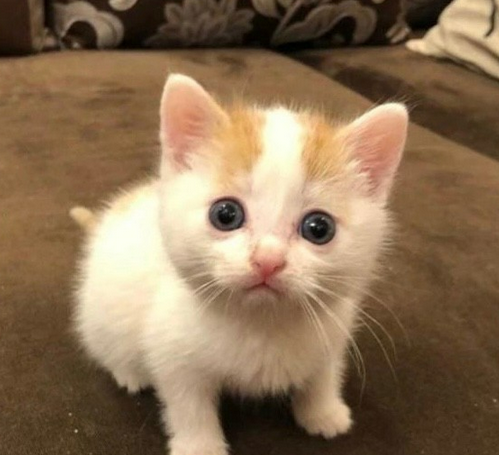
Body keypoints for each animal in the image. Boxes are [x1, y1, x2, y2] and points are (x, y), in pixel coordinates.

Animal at [71, 74, 408, 455]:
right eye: (226, 214)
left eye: (319, 228)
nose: (268, 260)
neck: (261, 323)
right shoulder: (174, 355)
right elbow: (189, 405)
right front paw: (199, 446)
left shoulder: (333, 331)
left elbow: (322, 374)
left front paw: (324, 412)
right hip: (100, 314)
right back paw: (130, 373)